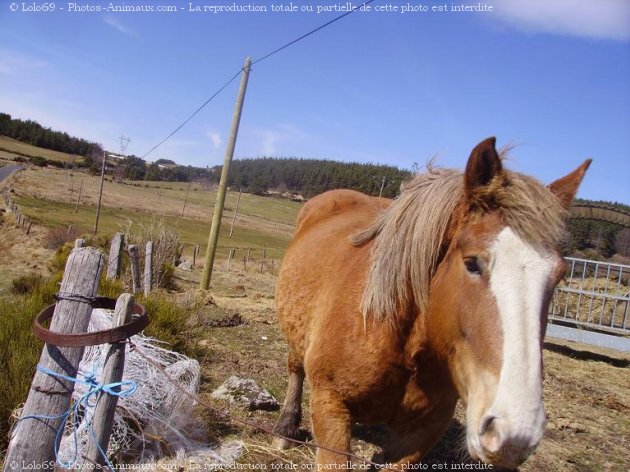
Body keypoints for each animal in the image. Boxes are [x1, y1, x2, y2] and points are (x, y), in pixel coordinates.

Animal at [272, 137, 592, 468]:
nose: (515, 432)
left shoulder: (423, 432)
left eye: (559, 275)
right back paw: (285, 428)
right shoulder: (330, 408)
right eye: (472, 263)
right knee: (295, 368)